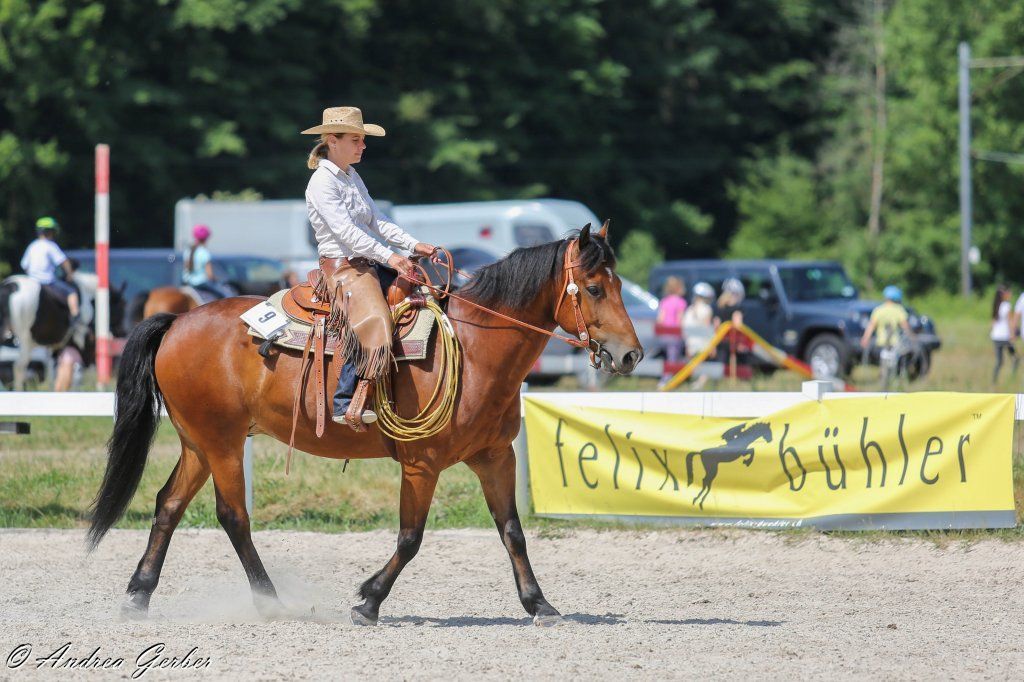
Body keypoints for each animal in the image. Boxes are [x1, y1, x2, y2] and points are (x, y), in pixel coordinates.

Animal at [87, 223, 643, 626]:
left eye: (619, 284)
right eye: (595, 287)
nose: (631, 354)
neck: (475, 350)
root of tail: (178, 321)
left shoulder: (495, 457)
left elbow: (512, 531)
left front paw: (539, 604)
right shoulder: (421, 464)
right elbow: (410, 537)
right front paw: (369, 601)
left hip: (198, 443)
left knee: (168, 506)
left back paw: (138, 597)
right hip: (221, 443)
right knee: (233, 516)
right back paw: (270, 600)